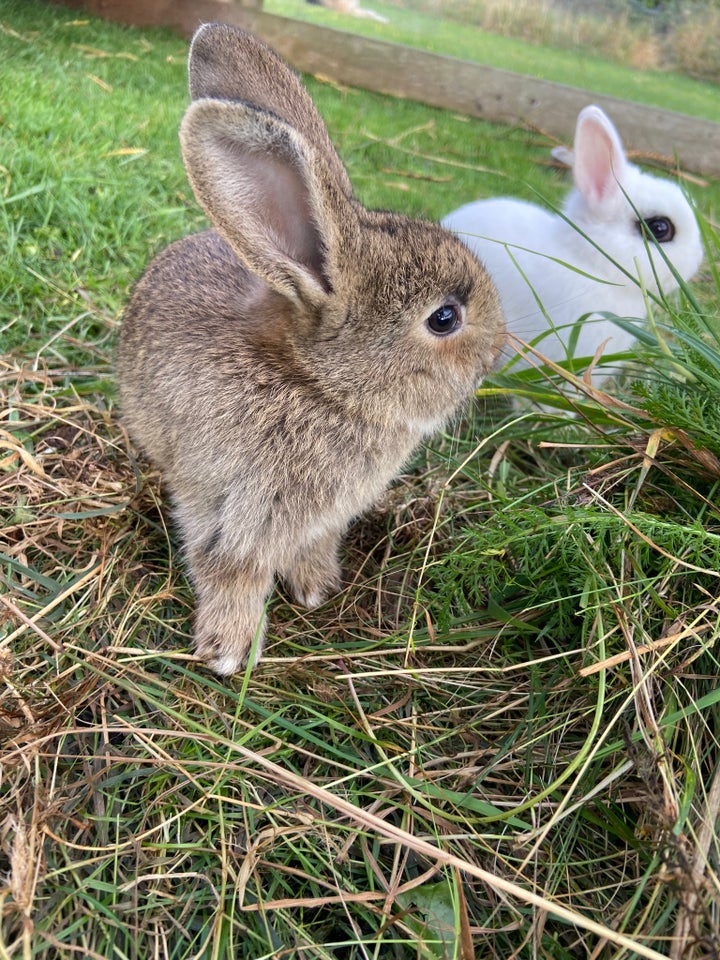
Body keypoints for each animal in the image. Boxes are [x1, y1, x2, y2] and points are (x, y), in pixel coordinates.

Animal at [115, 20, 504, 668]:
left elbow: (309, 547)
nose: (496, 354)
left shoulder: (320, 518)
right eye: (445, 318)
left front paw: (317, 588)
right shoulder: (223, 505)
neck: (320, 386)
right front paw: (228, 649)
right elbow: (230, 571)